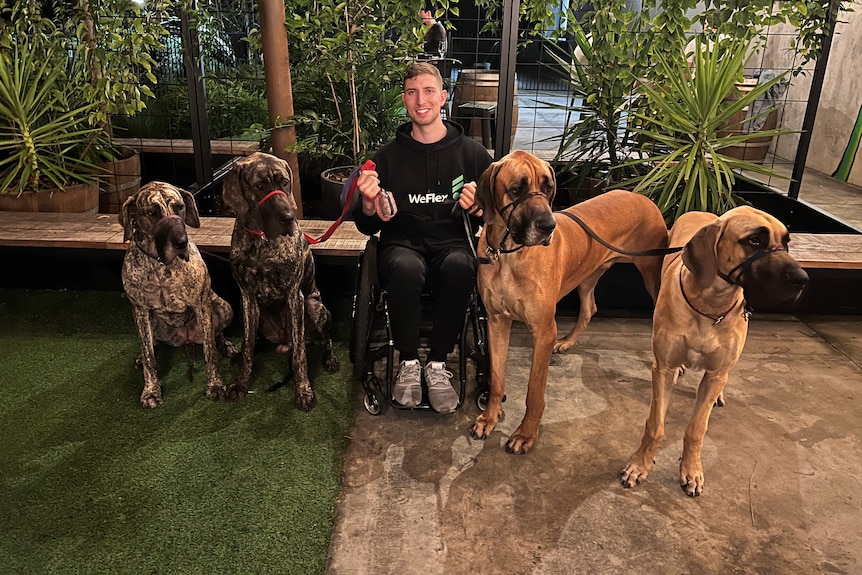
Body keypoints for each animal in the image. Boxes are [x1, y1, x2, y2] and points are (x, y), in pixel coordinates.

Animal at [120, 182, 238, 408]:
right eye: (152, 212)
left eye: (180, 207)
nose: (181, 242)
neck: (160, 264)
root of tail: (185, 339)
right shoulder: (139, 310)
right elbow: (149, 357)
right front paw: (151, 390)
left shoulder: (201, 305)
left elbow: (210, 353)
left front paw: (215, 385)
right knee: (150, 344)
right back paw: (142, 356)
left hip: (224, 307)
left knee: (216, 334)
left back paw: (226, 346)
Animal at [221, 151, 340, 410]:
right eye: (259, 186)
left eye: (285, 182)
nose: (288, 217)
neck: (262, 240)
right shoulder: (247, 297)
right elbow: (247, 345)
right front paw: (241, 383)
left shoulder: (295, 296)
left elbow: (300, 356)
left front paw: (304, 390)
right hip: (253, 314)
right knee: (254, 342)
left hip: (314, 307)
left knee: (323, 339)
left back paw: (330, 358)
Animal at [472, 152, 668, 454]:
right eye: (516, 189)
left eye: (549, 187)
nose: (548, 227)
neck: (508, 255)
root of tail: (642, 196)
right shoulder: (496, 321)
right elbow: (496, 378)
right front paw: (490, 418)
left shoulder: (543, 331)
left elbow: (534, 391)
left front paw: (525, 434)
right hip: (588, 276)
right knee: (589, 309)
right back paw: (566, 342)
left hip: (651, 275)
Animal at [620, 209, 808, 498]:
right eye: (754, 240)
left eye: (786, 243)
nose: (802, 279)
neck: (710, 304)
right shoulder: (662, 368)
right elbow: (655, 426)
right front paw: (639, 465)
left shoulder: (716, 372)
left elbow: (697, 429)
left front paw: (691, 470)